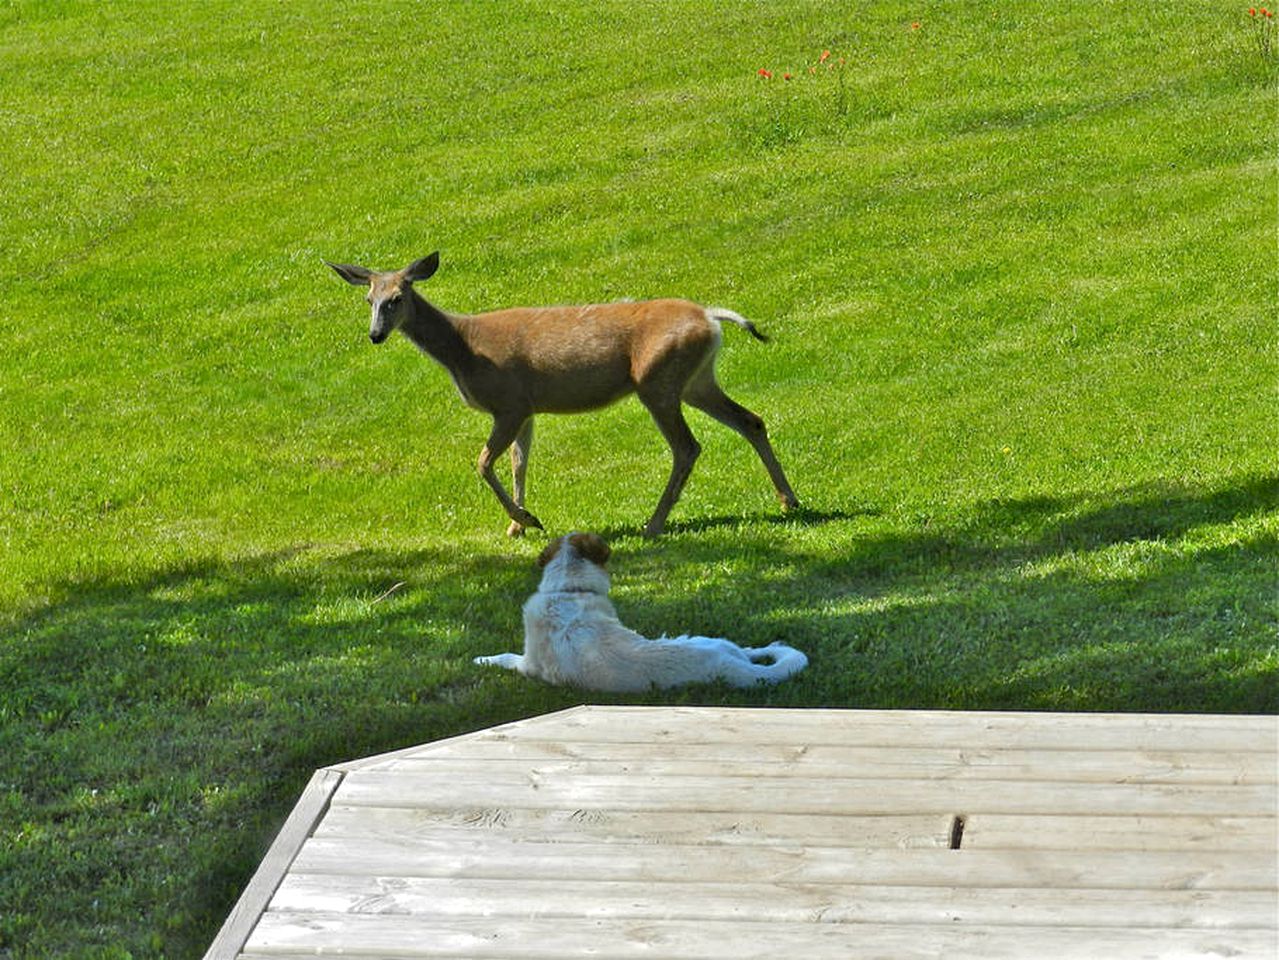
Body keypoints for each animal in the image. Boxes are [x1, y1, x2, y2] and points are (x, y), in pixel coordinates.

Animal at [324, 253, 792, 541]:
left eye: (397, 298)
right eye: (369, 298)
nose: (375, 335)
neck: (463, 349)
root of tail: (710, 318)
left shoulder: (509, 402)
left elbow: (483, 462)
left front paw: (526, 519)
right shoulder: (527, 409)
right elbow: (519, 463)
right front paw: (516, 527)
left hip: (657, 380)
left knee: (687, 446)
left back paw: (654, 523)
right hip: (696, 380)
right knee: (751, 420)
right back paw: (789, 501)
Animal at [470, 529, 808, 695]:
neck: (569, 589)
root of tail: (728, 667)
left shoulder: (528, 664)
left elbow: (505, 656)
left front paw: (482, 659)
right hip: (711, 642)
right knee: (751, 650)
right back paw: (771, 646)